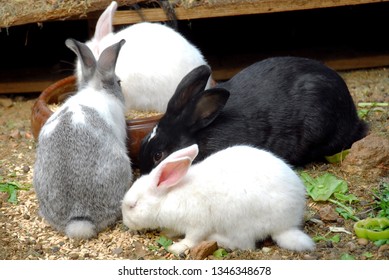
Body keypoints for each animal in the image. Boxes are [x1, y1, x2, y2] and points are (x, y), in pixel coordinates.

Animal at [122, 143, 316, 255]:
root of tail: (286, 224)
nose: (126, 223)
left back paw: (216, 238)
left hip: (240, 223)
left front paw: (176, 247)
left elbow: (192, 239)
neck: (167, 198)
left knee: (244, 244)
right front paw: (167, 233)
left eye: (133, 205)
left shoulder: (197, 223)